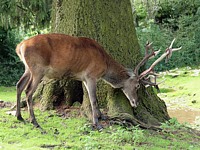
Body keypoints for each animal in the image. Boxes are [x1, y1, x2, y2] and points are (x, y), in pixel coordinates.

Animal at [15, 33, 181, 129]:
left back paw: (19, 117)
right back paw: (34, 122)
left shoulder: (83, 78)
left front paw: (101, 116)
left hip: (28, 68)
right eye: (137, 85)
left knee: (19, 85)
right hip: (38, 69)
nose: (135, 103)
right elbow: (94, 100)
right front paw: (97, 123)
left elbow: (89, 98)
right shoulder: (91, 75)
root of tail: (19, 46)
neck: (105, 64)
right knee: (28, 91)